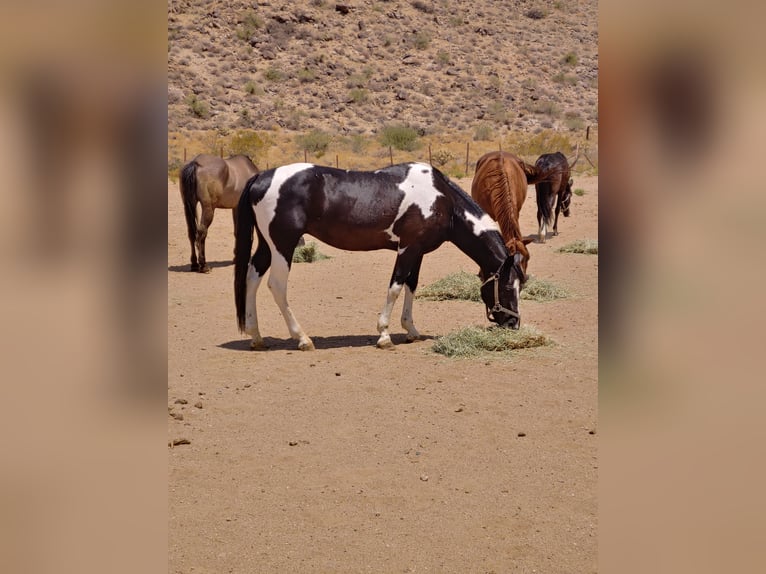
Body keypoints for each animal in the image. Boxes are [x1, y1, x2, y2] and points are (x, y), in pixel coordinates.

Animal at [234, 161, 528, 352]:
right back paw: (302, 339)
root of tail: (261, 177)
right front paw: (384, 334)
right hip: (283, 245)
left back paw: (256, 336)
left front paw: (411, 331)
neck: (442, 199)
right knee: (276, 286)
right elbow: (395, 287)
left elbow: (411, 286)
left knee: (251, 278)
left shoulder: (417, 251)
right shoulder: (407, 249)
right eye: (506, 286)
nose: (513, 323)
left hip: (267, 246)